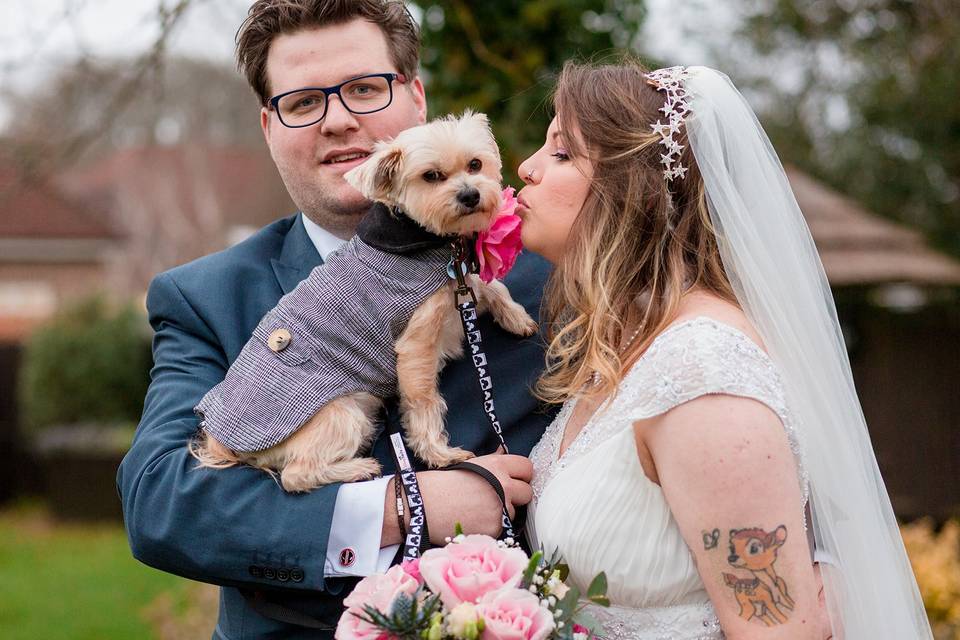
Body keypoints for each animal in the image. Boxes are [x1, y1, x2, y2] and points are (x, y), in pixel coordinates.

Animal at [191, 111, 536, 490]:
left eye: (475, 164)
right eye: (431, 176)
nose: (471, 194)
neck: (424, 240)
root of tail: (223, 441)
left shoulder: (455, 282)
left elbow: (490, 287)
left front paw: (516, 317)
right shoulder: (416, 348)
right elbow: (424, 402)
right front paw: (440, 455)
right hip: (344, 415)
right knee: (296, 475)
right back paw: (356, 469)